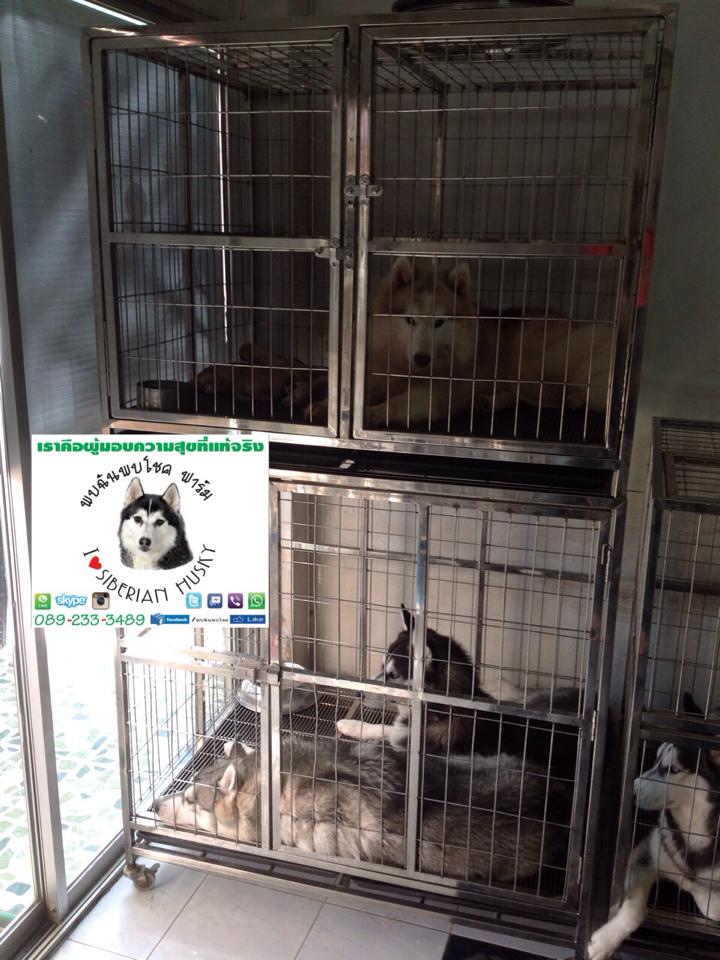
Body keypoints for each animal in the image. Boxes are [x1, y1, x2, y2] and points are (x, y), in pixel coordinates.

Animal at [337, 606, 580, 782]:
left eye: (394, 675)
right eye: (381, 666)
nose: (357, 694)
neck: (442, 711)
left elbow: (390, 733)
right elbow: (385, 728)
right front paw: (354, 725)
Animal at [360, 257, 612, 430]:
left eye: (439, 322)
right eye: (410, 320)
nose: (422, 358)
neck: (407, 368)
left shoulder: (437, 392)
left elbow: (399, 402)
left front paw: (374, 412)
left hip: (532, 365)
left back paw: (574, 399)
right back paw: (486, 402)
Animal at [587, 693, 720, 960]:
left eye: (673, 769)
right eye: (656, 759)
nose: (632, 790)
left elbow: (713, 905)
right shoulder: (649, 851)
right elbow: (633, 907)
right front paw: (604, 942)